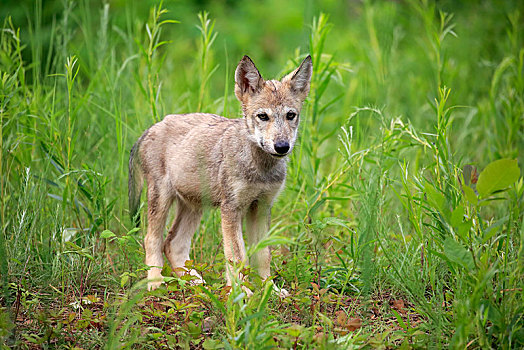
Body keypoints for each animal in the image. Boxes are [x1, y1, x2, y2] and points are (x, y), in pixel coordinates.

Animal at [129, 54, 314, 296]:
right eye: (263, 116)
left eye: (290, 115)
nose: (282, 146)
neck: (260, 168)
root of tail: (152, 127)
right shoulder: (231, 210)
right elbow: (237, 256)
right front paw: (242, 294)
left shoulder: (262, 207)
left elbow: (263, 256)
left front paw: (269, 290)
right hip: (161, 200)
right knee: (152, 239)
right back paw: (156, 283)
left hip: (194, 206)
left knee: (172, 243)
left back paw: (196, 284)